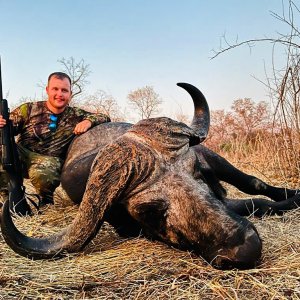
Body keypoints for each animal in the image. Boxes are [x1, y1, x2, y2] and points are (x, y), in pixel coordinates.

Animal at [0, 84, 300, 270]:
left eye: (198, 171)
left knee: (252, 181)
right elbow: (252, 205)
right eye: (151, 210)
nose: (246, 248)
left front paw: (291, 199)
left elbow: (257, 198)